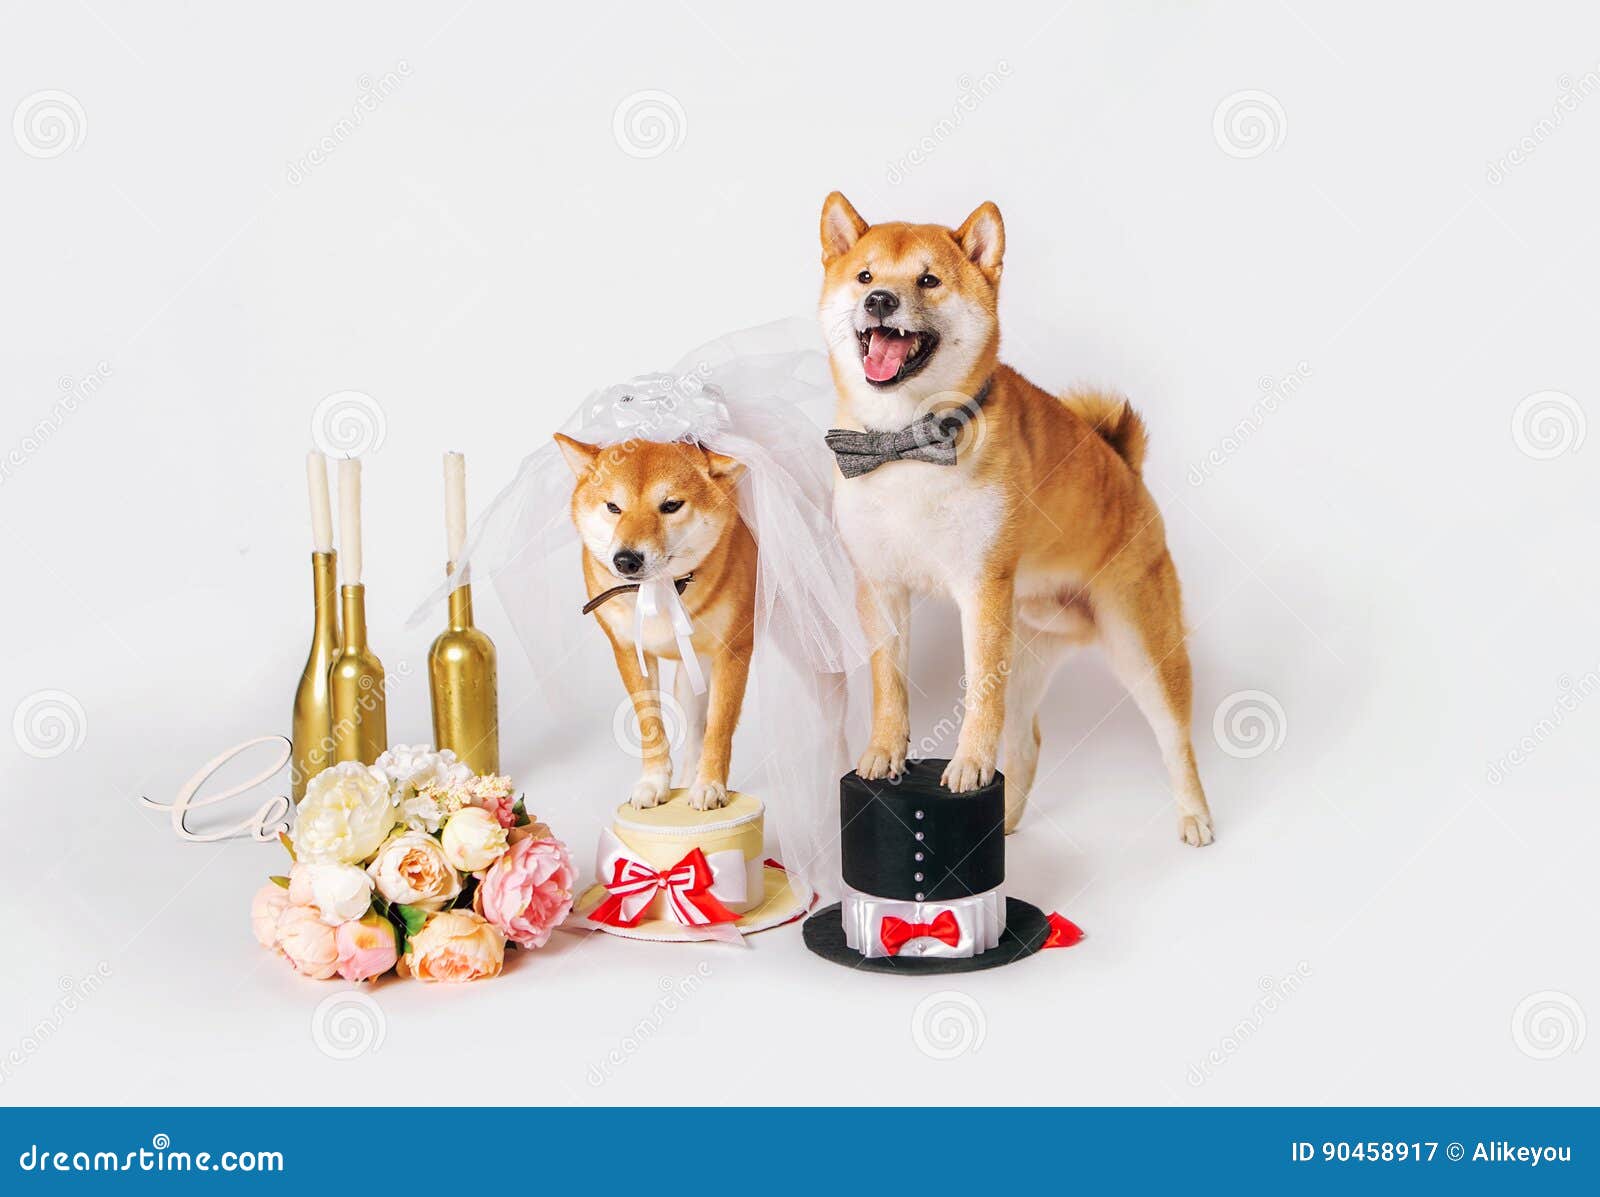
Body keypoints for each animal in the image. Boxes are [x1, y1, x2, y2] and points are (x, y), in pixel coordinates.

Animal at [556, 438, 755, 812]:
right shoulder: (629, 652)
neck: (662, 589)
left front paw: (711, 785)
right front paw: (654, 782)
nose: (626, 559)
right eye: (614, 507)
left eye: (671, 505)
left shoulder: (733, 650)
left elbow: (719, 727)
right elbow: (650, 723)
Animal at [819, 192, 1216, 844]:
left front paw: (968, 764)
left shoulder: (980, 590)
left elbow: (979, 696)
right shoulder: (880, 586)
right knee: (1028, 739)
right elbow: (888, 683)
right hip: (1027, 645)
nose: (880, 301)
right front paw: (883, 752)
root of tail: (1125, 467)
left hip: (1140, 645)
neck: (907, 442)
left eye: (928, 280)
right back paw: (1000, 825)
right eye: (866, 277)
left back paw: (1195, 817)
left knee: (1174, 738)